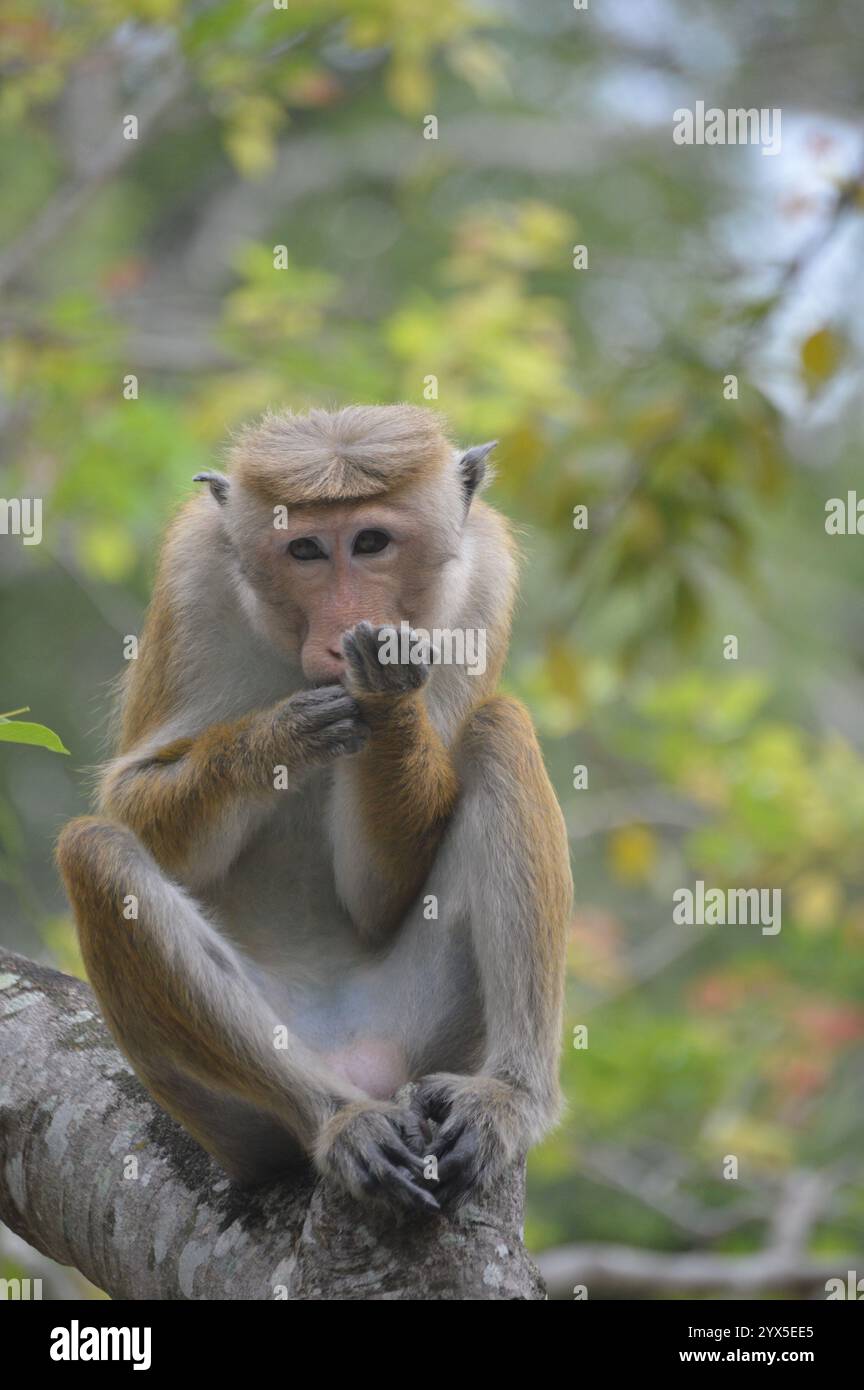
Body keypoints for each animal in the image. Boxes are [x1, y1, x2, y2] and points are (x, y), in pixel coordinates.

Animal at [57, 404, 572, 1217]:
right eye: (304, 549)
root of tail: (360, 1064)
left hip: (426, 1038)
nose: (338, 638)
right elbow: (135, 804)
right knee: (97, 852)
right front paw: (280, 737)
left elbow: (377, 895)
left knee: (500, 729)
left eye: (370, 542)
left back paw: (508, 1098)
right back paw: (338, 1118)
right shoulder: (192, 576)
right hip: (230, 1119)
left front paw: (386, 694)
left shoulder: (482, 582)